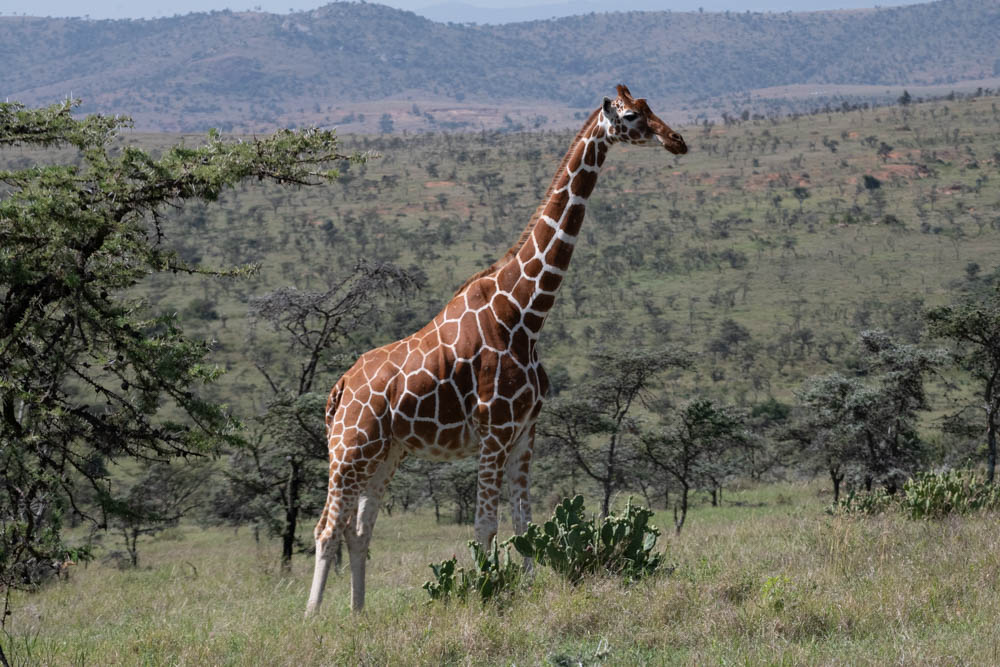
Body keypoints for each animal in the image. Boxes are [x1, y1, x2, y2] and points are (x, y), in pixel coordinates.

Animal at [305, 84, 687, 614]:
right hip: (347, 450)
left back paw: (359, 614)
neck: (525, 313)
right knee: (325, 528)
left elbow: (525, 521)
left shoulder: (526, 430)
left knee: (358, 531)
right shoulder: (494, 429)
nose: (677, 141)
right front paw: (485, 592)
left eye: (652, 108)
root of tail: (339, 388)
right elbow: (485, 525)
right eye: (632, 116)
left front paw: (526, 589)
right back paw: (312, 617)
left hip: (386, 455)